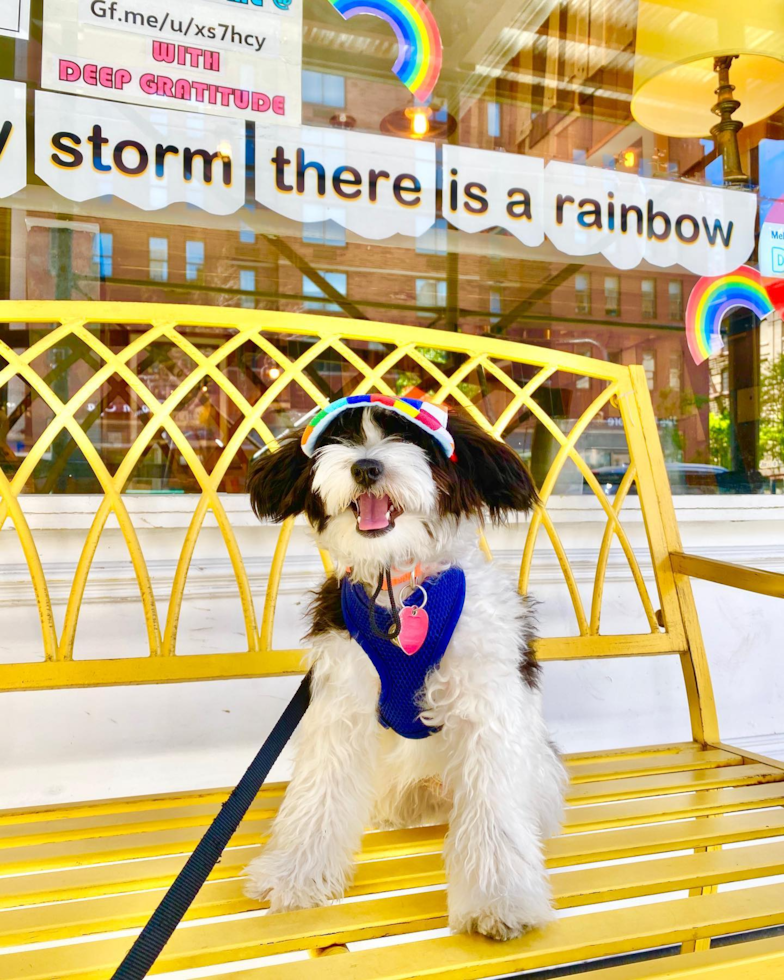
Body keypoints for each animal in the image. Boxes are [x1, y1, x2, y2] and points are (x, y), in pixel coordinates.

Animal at [243, 402, 564, 936]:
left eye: (412, 440)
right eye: (340, 437)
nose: (366, 467)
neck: (400, 587)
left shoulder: (486, 705)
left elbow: (493, 803)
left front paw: (499, 898)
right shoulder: (341, 701)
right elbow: (320, 787)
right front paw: (297, 874)